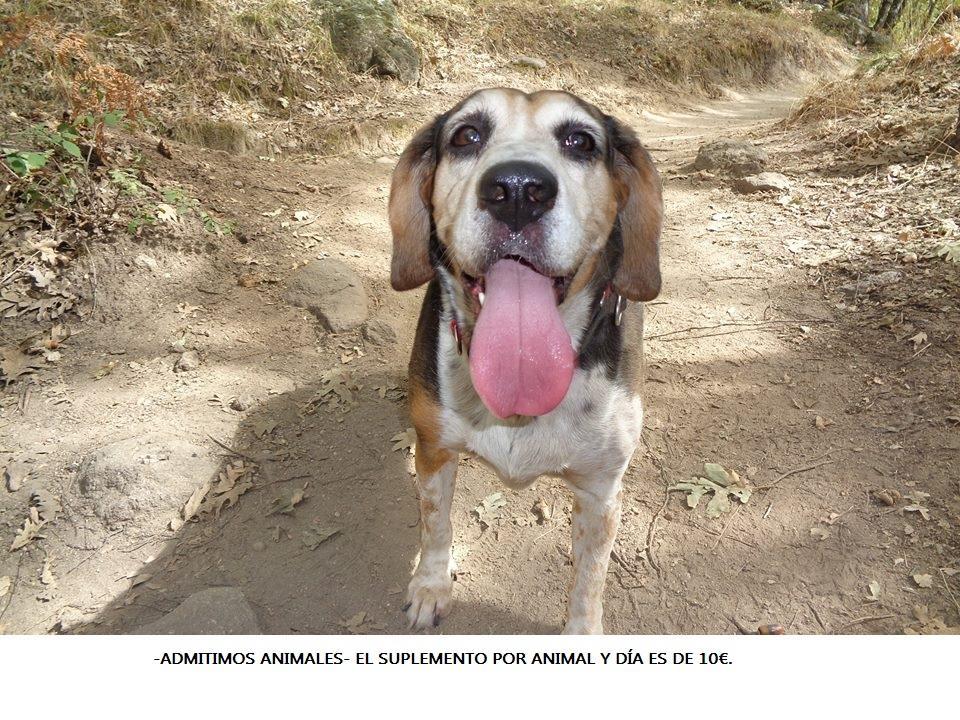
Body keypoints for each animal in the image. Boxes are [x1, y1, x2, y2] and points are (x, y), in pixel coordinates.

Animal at [386, 87, 664, 632]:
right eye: (466, 135)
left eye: (581, 141)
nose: (517, 190)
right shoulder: (434, 450)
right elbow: (436, 524)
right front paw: (431, 586)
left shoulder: (601, 492)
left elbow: (590, 577)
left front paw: (583, 631)